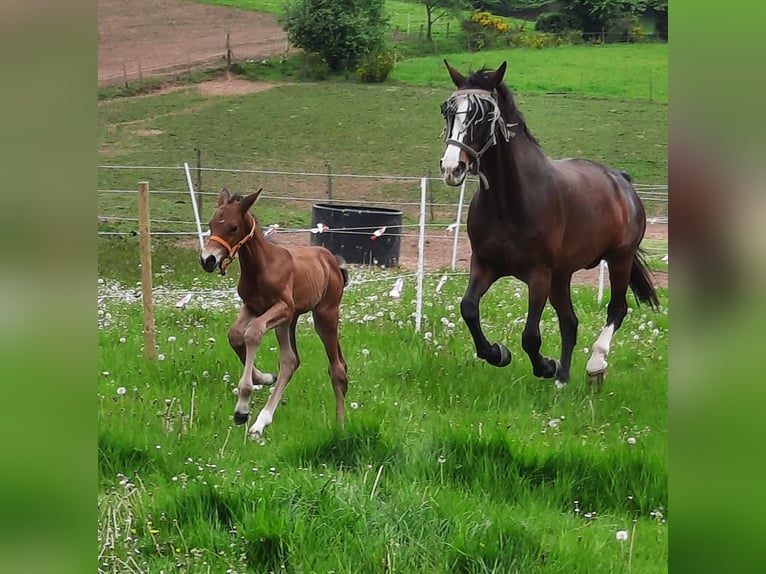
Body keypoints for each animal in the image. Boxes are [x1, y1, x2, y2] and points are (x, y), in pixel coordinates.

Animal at [201, 188, 352, 436]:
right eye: (211, 224)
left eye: (233, 227)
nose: (208, 260)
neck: (261, 267)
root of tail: (333, 263)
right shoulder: (252, 306)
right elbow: (235, 335)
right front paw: (263, 378)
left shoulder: (282, 307)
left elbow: (253, 333)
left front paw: (242, 408)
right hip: (288, 321)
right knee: (291, 361)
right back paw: (261, 421)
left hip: (323, 314)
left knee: (337, 368)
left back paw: (339, 426)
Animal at [440, 62, 664, 388]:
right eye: (447, 111)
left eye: (482, 115)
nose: (451, 168)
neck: (509, 202)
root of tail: (621, 181)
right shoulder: (484, 264)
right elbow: (468, 308)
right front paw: (498, 353)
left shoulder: (538, 274)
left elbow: (530, 336)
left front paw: (545, 365)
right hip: (562, 275)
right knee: (570, 321)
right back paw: (562, 379)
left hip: (618, 259)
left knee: (617, 309)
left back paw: (595, 365)